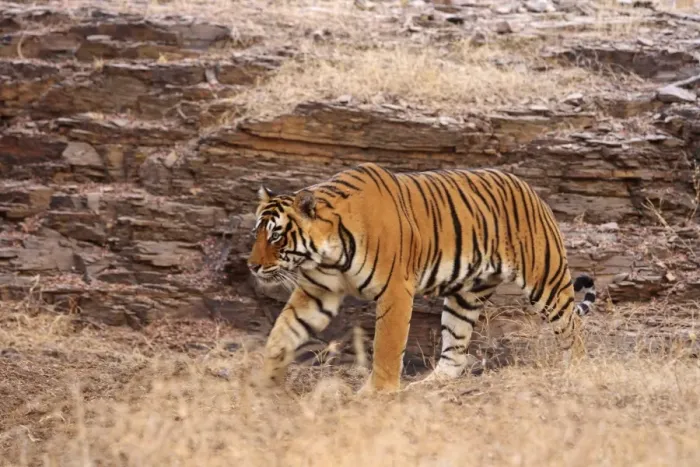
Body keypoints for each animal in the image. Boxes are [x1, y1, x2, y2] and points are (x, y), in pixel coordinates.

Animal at [246, 162, 596, 393]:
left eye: (276, 236)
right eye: (257, 234)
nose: (251, 266)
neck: (329, 254)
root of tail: (528, 187)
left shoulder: (395, 291)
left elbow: (387, 345)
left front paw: (377, 393)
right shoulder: (317, 292)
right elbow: (283, 333)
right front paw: (262, 382)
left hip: (547, 280)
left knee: (572, 330)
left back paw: (578, 372)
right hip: (465, 297)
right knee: (455, 352)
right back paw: (427, 386)